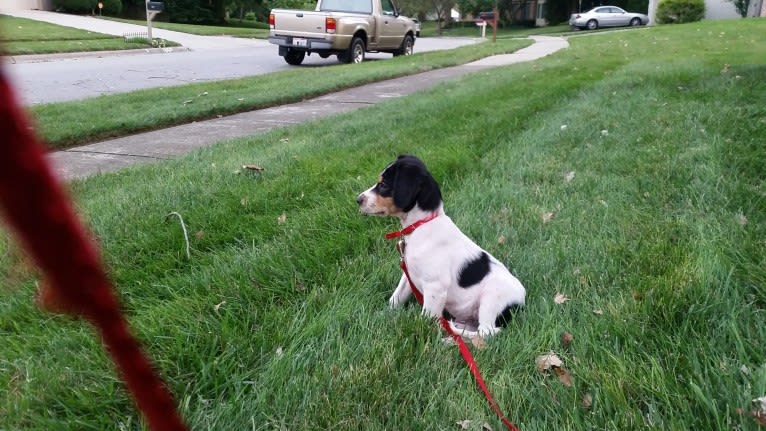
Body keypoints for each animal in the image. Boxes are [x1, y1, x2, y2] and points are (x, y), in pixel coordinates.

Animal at [356, 155, 524, 338]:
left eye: (384, 185)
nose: (357, 199)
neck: (422, 225)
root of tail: (522, 302)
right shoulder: (408, 276)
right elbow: (395, 298)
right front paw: (382, 316)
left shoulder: (435, 287)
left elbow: (426, 317)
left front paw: (421, 330)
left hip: (491, 299)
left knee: (486, 332)